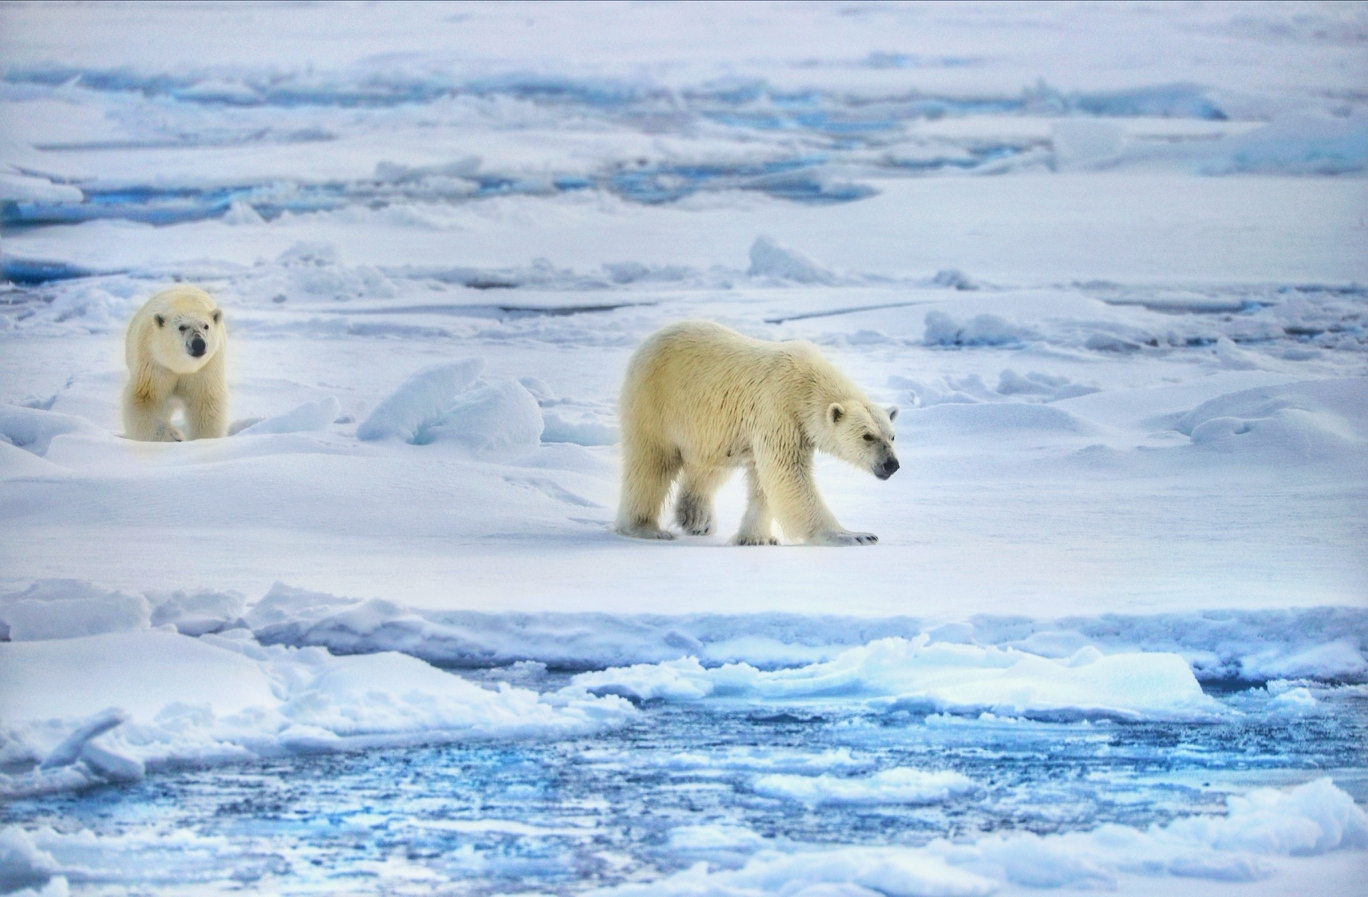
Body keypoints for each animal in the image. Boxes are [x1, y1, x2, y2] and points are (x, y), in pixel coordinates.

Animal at [125, 287, 229, 440]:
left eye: (206, 326)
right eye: (182, 327)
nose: (199, 344)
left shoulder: (204, 369)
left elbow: (205, 403)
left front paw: (202, 439)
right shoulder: (154, 364)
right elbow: (144, 400)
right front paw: (174, 437)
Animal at [618, 322, 897, 546]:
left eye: (892, 436)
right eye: (867, 436)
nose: (891, 464)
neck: (806, 382)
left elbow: (765, 481)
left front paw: (756, 539)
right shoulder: (778, 411)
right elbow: (787, 475)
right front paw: (855, 535)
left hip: (709, 427)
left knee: (709, 464)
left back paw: (696, 518)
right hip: (656, 401)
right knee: (651, 463)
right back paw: (645, 528)